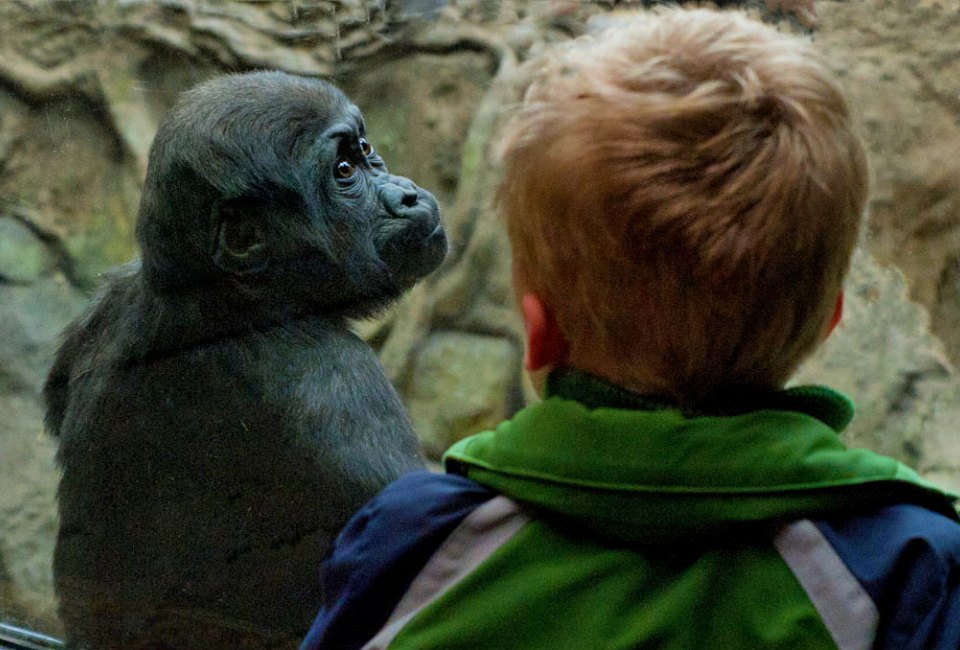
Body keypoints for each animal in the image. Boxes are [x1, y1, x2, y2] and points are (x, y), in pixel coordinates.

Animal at [44, 72, 446, 648]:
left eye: (365, 150)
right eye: (343, 172)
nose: (408, 195)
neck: (229, 301)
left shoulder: (106, 305)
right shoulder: (332, 380)